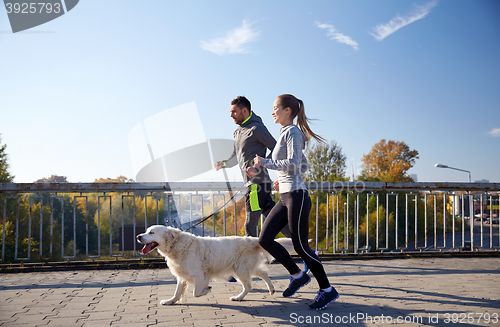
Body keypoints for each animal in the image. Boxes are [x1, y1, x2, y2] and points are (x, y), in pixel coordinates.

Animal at [137, 226, 292, 304]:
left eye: (151, 232)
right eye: (146, 231)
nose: (138, 236)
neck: (177, 245)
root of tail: (251, 239)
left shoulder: (199, 274)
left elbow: (196, 292)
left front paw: (206, 290)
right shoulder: (182, 275)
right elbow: (177, 291)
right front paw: (170, 301)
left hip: (240, 269)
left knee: (248, 285)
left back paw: (238, 297)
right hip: (244, 268)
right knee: (263, 273)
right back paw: (271, 289)